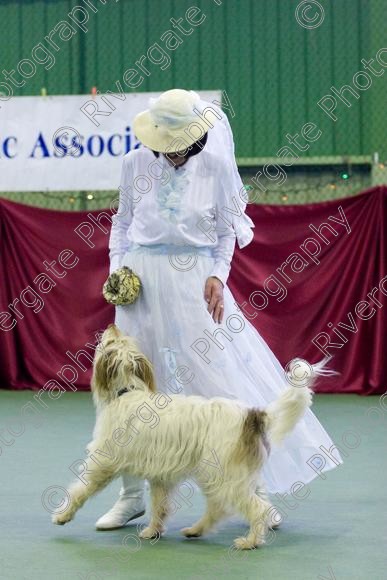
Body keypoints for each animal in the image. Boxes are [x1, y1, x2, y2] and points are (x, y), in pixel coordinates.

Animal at [53, 326, 322, 548]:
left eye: (110, 342)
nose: (112, 325)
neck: (127, 392)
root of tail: (253, 414)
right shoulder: (160, 476)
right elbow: (159, 506)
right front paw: (153, 531)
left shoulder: (103, 463)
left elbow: (80, 490)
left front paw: (63, 515)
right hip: (222, 476)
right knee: (220, 508)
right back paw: (196, 530)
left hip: (225, 478)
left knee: (257, 508)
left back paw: (250, 541)